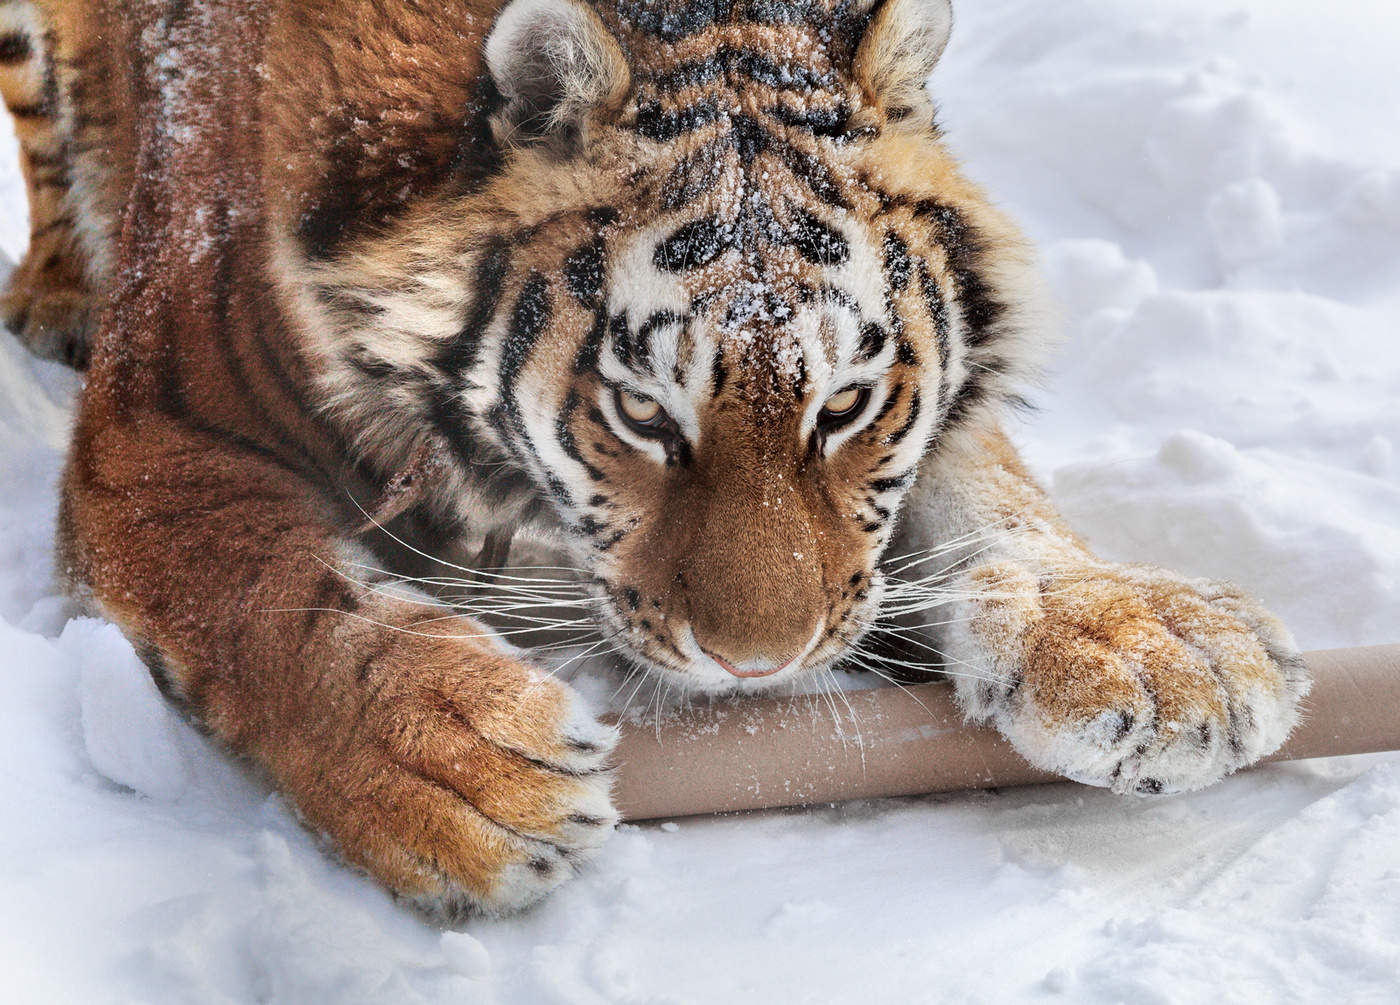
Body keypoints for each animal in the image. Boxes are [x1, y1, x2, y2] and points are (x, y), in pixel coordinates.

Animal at [0, 0, 1310, 918]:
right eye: (640, 414)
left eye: (844, 405)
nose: (758, 666)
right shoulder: (160, 441)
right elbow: (269, 601)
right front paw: (465, 778)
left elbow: (983, 485)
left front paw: (1149, 645)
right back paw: (52, 296)